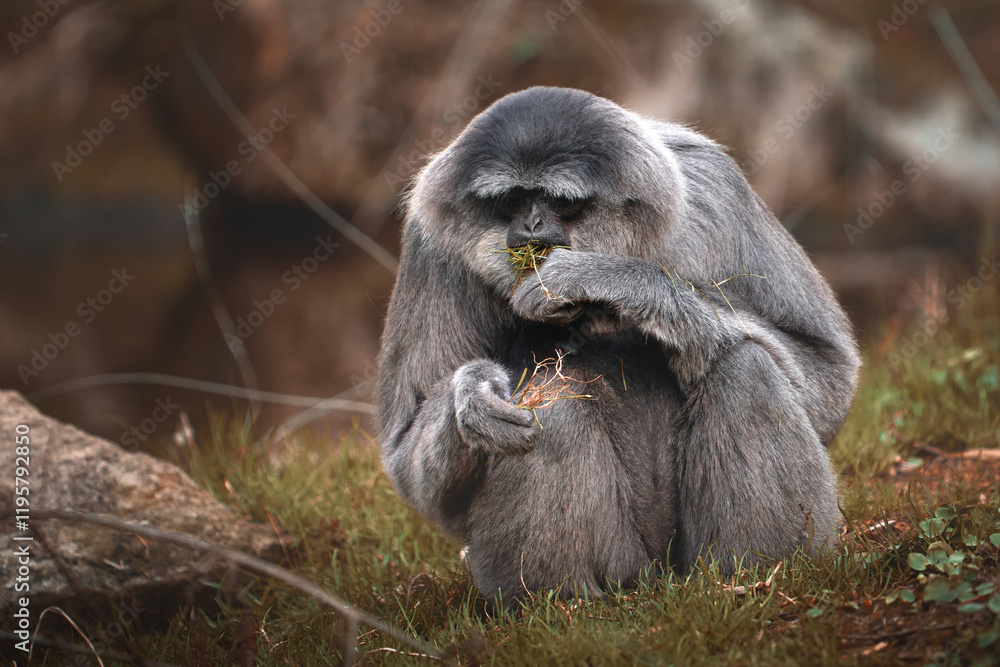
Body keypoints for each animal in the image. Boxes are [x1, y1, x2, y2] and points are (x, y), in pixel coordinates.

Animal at [376, 86, 860, 607]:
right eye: (513, 199)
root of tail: (659, 576)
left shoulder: (714, 185)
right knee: (553, 399)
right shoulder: (430, 239)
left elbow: (830, 376)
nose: (532, 224)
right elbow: (410, 463)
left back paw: (754, 573)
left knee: (746, 364)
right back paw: (563, 600)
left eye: (557, 201)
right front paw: (474, 395)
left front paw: (612, 279)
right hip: (605, 564)